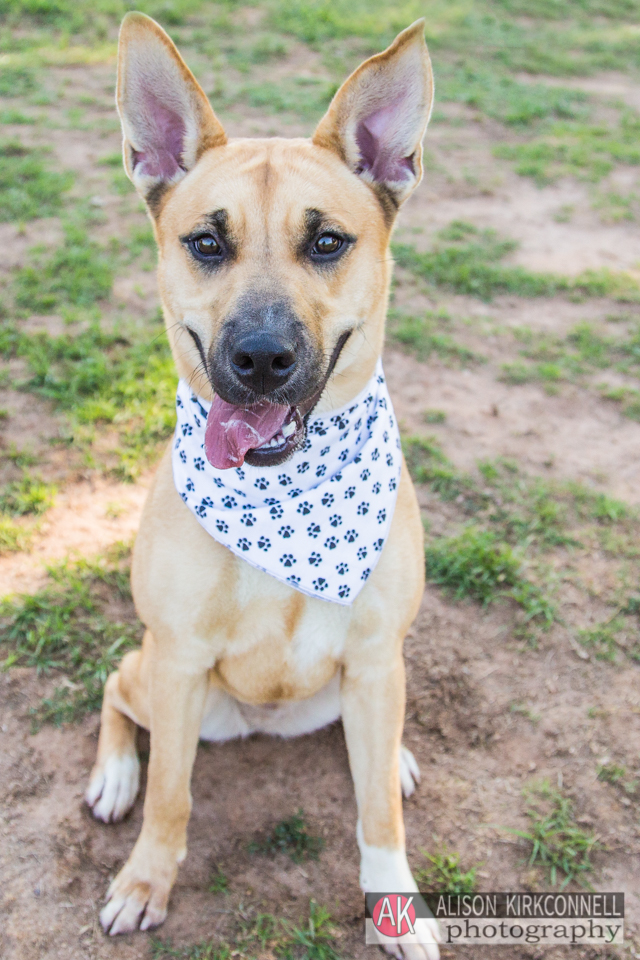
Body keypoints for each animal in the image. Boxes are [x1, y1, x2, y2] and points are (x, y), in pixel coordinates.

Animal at [86, 11, 440, 956]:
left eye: (327, 241)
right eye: (207, 242)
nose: (261, 358)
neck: (288, 502)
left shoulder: (374, 657)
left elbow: (378, 814)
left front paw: (395, 904)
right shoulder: (176, 664)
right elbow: (171, 797)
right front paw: (145, 881)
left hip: (357, 684)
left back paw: (395, 753)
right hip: (166, 682)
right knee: (114, 690)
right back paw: (112, 778)